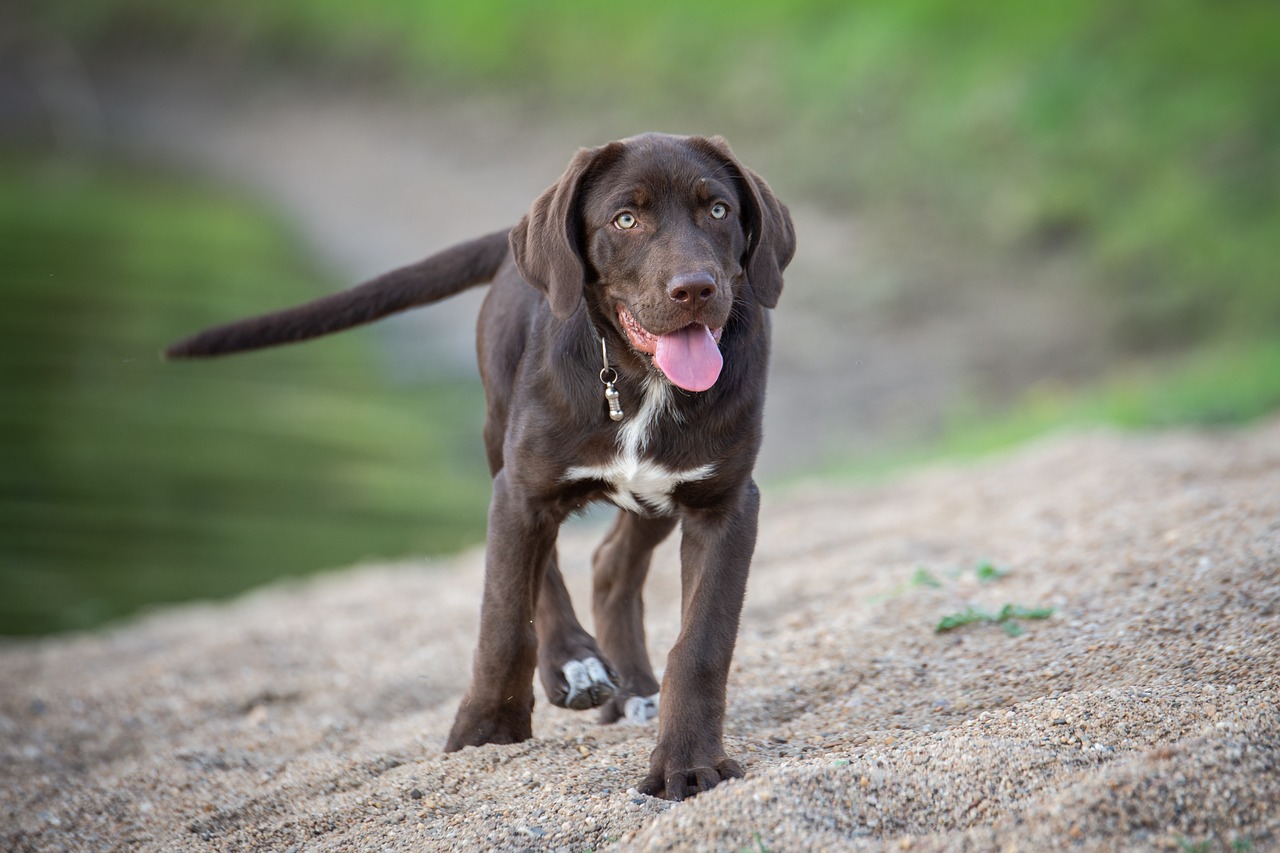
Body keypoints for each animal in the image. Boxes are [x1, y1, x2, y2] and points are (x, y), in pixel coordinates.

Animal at [166, 133, 793, 799]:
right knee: (545, 570)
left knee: (610, 566)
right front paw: (486, 731)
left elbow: (702, 643)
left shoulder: (723, 503)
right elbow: (504, 622)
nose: (695, 289)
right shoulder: (522, 489)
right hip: (504, 439)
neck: (636, 380)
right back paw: (574, 661)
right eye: (626, 219)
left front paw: (689, 762)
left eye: (719, 210)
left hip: (650, 496)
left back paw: (635, 689)